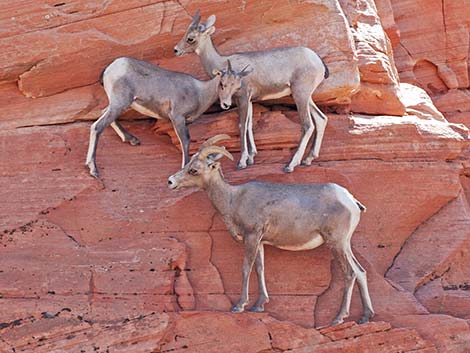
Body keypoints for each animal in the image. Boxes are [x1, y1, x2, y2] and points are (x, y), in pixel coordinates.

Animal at [85, 58, 222, 179]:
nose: (225, 104)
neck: (200, 92)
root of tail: (110, 68)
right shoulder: (178, 118)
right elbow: (186, 141)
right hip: (120, 103)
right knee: (97, 126)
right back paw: (93, 169)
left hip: (119, 104)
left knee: (104, 113)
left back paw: (132, 140)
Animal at [168, 135, 374, 324]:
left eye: (193, 170)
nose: (170, 182)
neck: (233, 200)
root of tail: (350, 200)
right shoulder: (260, 242)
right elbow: (260, 268)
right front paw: (259, 305)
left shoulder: (252, 237)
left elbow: (246, 268)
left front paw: (239, 306)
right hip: (344, 245)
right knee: (361, 272)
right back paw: (365, 316)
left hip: (336, 244)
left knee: (350, 273)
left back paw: (338, 318)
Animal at [174, 12, 328, 173]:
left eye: (190, 38)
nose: (176, 50)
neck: (223, 62)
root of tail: (318, 61)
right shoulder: (250, 101)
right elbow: (249, 125)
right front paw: (251, 158)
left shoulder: (242, 98)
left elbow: (242, 125)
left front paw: (242, 162)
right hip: (306, 97)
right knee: (321, 119)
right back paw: (308, 159)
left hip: (300, 95)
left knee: (307, 125)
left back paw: (290, 165)